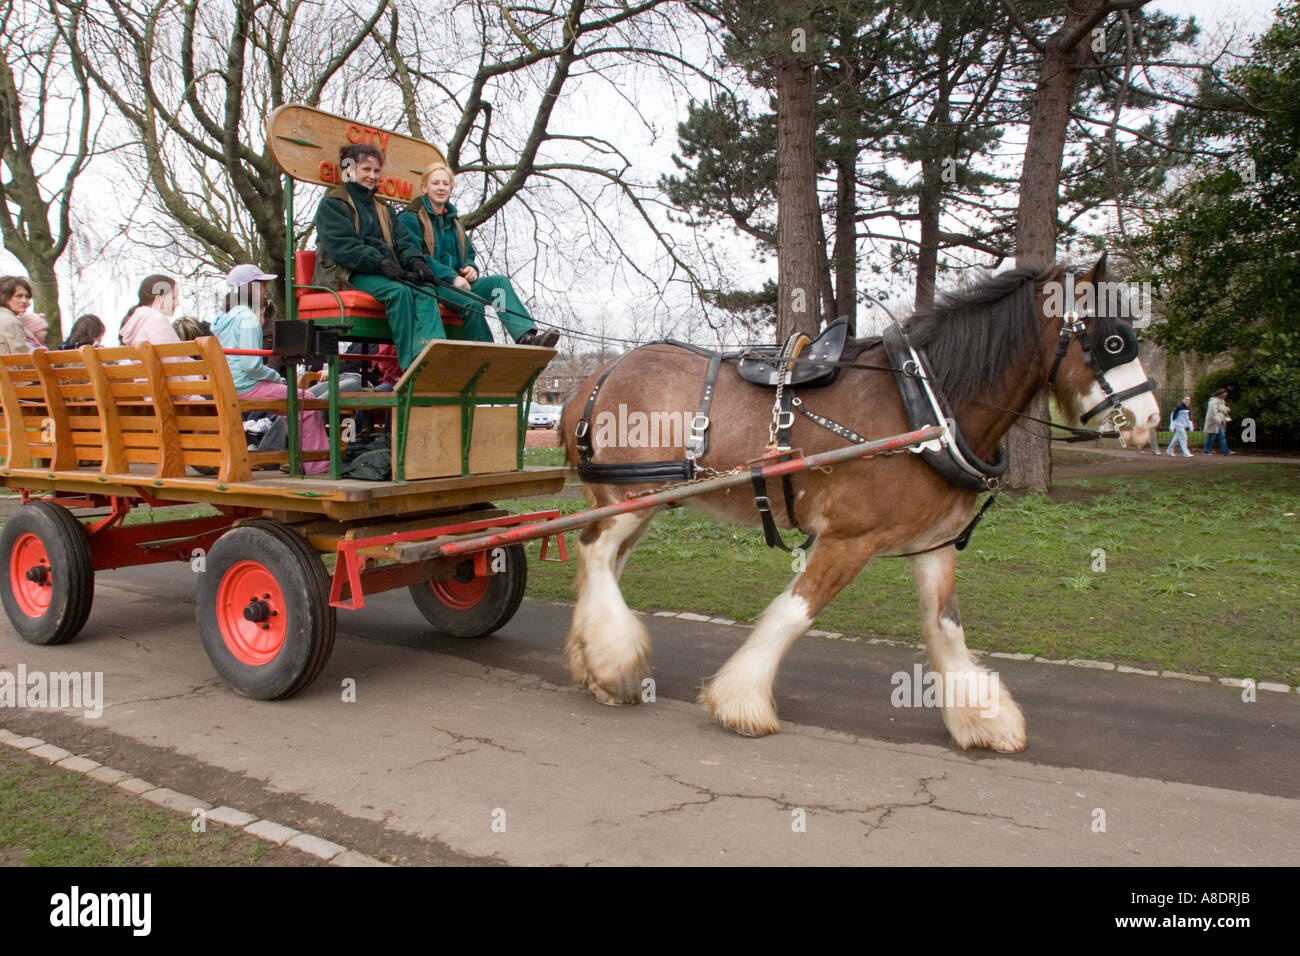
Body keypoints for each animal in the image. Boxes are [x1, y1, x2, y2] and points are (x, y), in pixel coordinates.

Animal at [559, 257, 1159, 749]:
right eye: (1112, 342)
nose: (1151, 419)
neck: (925, 405)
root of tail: (595, 376)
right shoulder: (848, 539)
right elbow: (793, 614)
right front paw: (741, 702)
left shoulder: (934, 544)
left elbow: (946, 627)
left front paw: (981, 718)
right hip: (630, 498)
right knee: (593, 551)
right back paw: (612, 663)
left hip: (637, 503)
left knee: (602, 562)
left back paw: (592, 664)